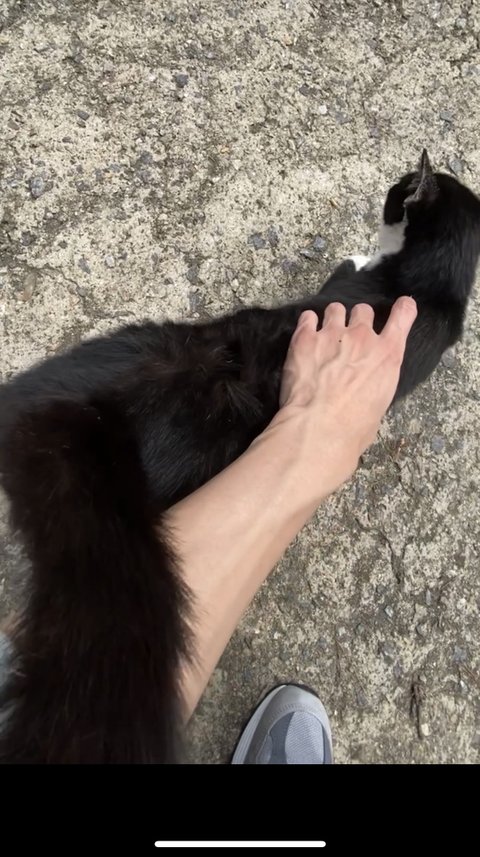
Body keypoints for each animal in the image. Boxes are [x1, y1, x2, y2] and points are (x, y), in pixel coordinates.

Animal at [0, 150, 479, 763]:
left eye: (397, 193)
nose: (386, 196)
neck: (434, 291)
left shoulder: (347, 287)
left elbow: (345, 268)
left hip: (128, 349)